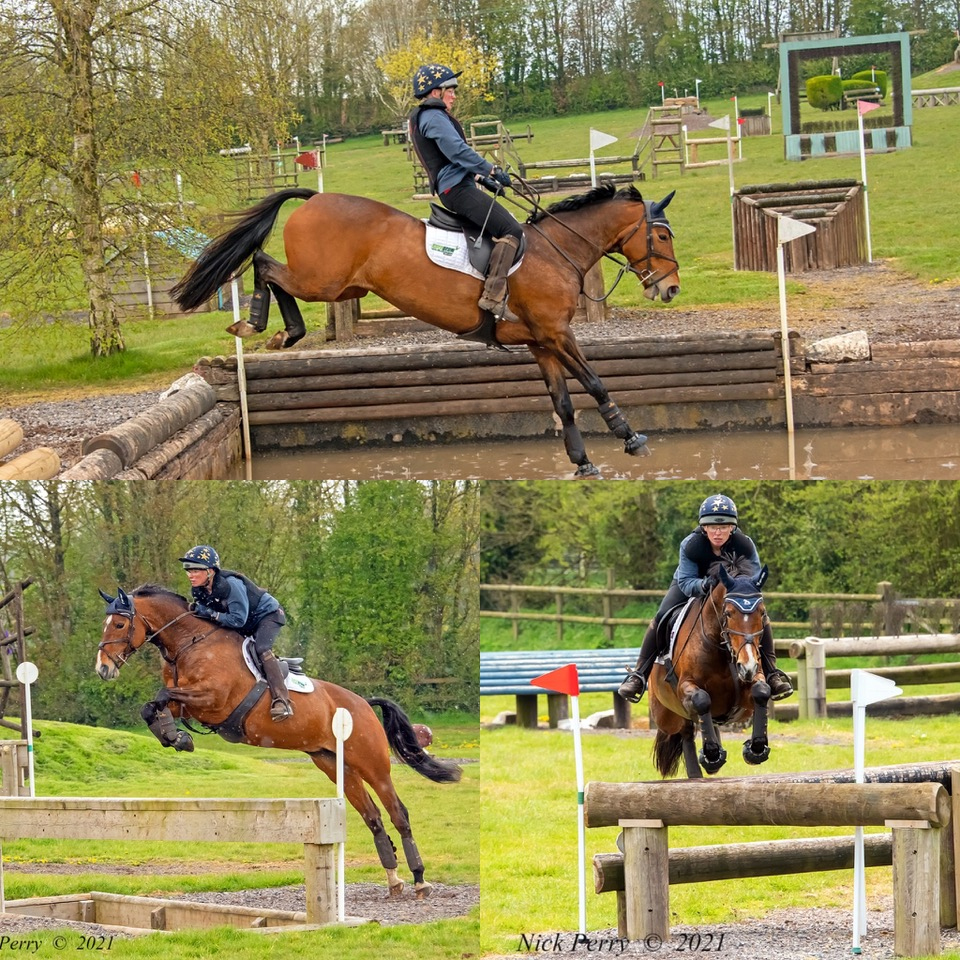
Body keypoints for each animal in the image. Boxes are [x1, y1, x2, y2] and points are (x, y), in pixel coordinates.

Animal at [95, 584, 460, 900]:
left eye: (119, 623)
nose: (103, 669)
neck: (190, 643)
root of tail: (363, 705)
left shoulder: (213, 699)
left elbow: (161, 695)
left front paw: (177, 737)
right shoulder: (188, 702)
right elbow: (152, 706)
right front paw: (176, 737)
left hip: (372, 763)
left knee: (398, 813)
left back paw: (420, 880)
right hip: (333, 763)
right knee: (372, 816)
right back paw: (394, 879)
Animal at [172, 182, 684, 478]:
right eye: (661, 236)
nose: (672, 288)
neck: (557, 250)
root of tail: (316, 197)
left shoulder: (541, 342)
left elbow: (563, 403)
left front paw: (582, 462)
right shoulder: (557, 335)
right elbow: (595, 383)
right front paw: (629, 436)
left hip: (338, 285)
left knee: (267, 267)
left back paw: (280, 330)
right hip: (323, 280)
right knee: (264, 264)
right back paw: (265, 325)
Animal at [644, 564, 772, 780]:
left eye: (762, 613)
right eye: (728, 613)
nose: (747, 666)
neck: (723, 648)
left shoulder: (751, 682)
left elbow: (762, 692)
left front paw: (756, 749)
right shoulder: (685, 686)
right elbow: (702, 699)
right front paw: (711, 753)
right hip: (665, 715)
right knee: (685, 731)